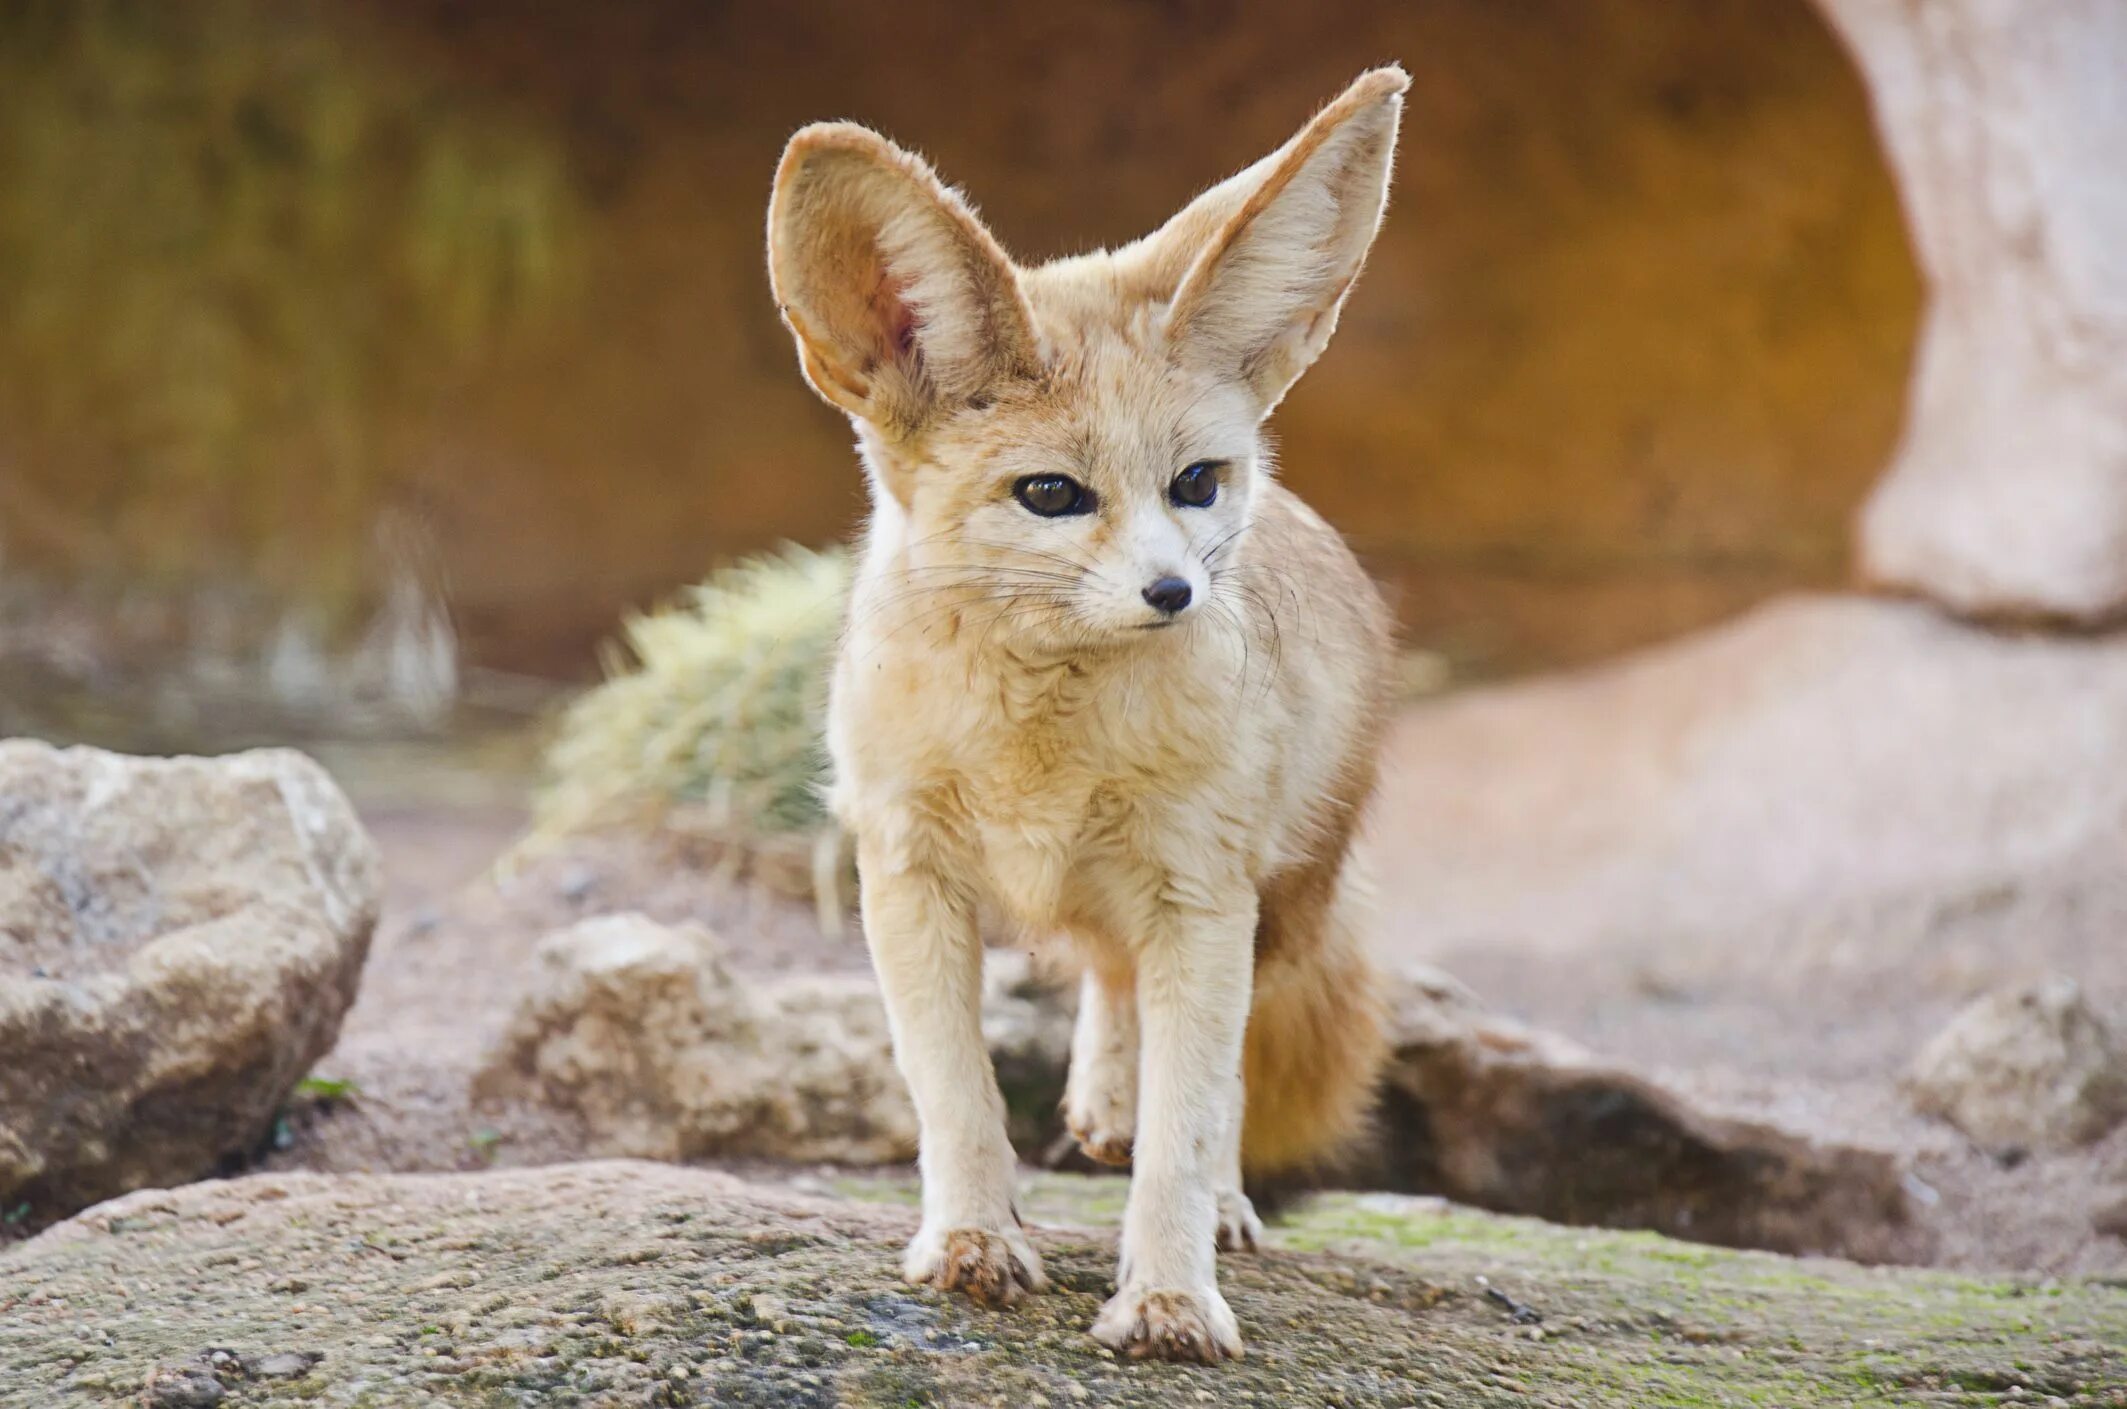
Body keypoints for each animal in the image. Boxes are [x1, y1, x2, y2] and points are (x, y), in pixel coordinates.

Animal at [774, 69, 1403, 1370]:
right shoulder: (907, 876)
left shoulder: (1204, 897)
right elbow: (955, 1093)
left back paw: (1210, 1194)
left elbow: (1190, 1117)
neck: (1042, 749)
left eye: (1197, 483)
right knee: (1113, 984)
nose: (1175, 593)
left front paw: (1169, 1294)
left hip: (1272, 910)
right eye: (1052, 493)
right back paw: (1104, 1103)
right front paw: (972, 1239)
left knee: (1204, 1068)